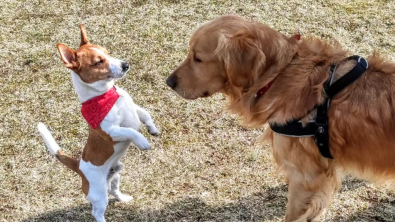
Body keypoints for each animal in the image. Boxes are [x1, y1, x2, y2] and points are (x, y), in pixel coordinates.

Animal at [37, 24, 159, 222]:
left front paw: (153, 130)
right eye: (98, 62)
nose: (125, 64)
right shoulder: (110, 131)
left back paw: (124, 198)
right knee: (97, 211)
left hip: (116, 175)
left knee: (114, 190)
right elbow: (131, 131)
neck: (106, 95)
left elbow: (146, 115)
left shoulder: (134, 108)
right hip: (99, 194)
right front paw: (142, 142)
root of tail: (79, 166)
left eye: (108, 52)